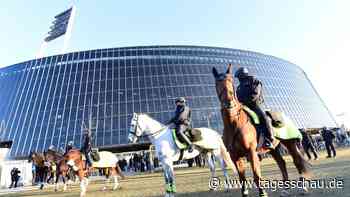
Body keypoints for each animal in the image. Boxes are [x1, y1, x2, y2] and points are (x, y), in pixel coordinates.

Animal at [212, 63, 310, 196]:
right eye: (217, 82)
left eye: (230, 81)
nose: (229, 102)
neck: (234, 125)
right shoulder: (235, 156)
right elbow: (242, 179)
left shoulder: (251, 152)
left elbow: (256, 176)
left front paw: (263, 193)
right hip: (273, 149)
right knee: (282, 163)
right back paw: (285, 189)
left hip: (290, 144)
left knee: (297, 161)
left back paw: (302, 188)